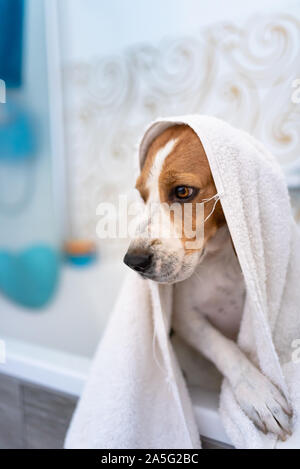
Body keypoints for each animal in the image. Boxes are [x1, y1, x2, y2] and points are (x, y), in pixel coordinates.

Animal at [123, 123, 292, 438]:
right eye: (142, 196)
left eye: (182, 191)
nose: (133, 261)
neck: (219, 259)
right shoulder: (185, 318)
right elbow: (224, 347)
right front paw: (258, 393)